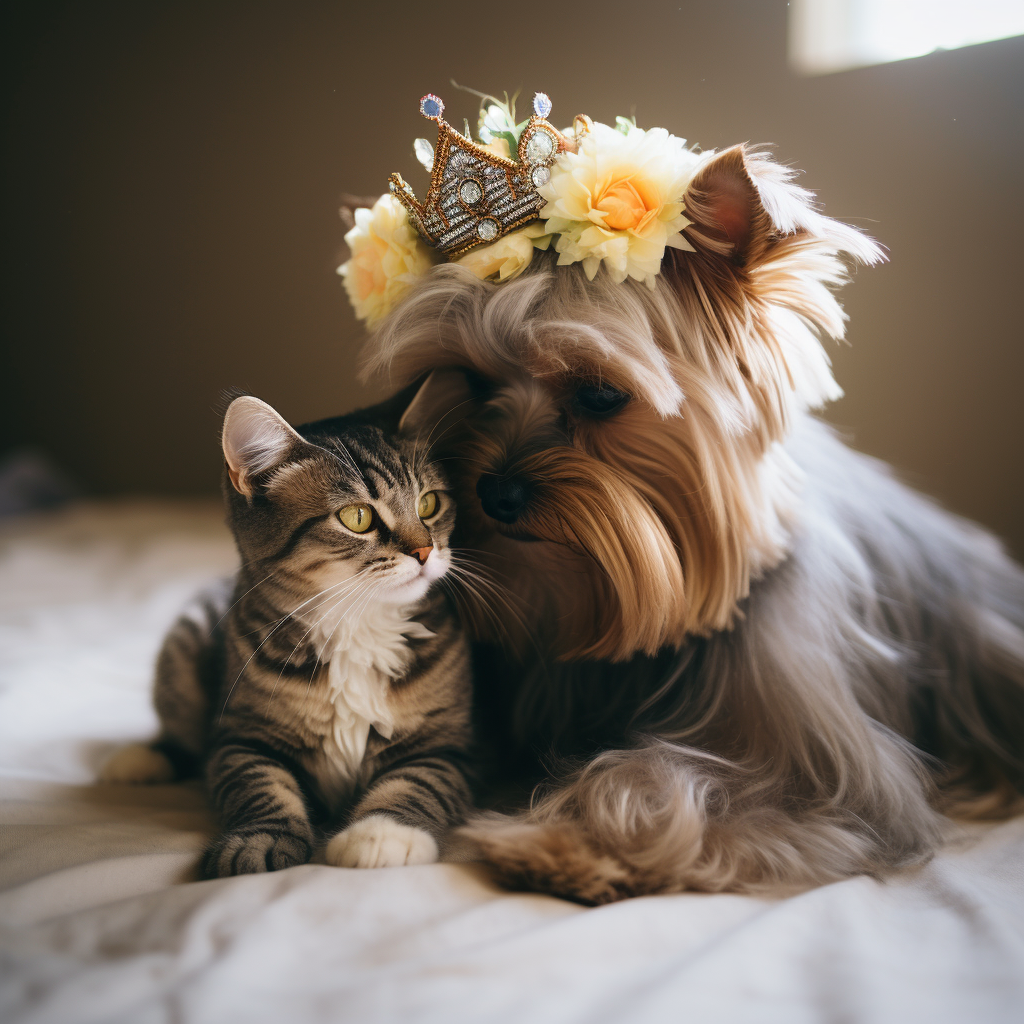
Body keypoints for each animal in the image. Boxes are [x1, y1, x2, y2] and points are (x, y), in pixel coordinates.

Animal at [101, 395, 473, 876]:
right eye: (358, 517)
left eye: (429, 504)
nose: (426, 552)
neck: (357, 625)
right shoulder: (240, 738)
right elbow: (260, 785)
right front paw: (259, 841)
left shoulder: (449, 746)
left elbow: (416, 783)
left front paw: (382, 835)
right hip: (183, 651)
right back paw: (143, 758)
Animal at [346, 140, 1024, 901]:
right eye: (473, 382)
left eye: (600, 394)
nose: (496, 493)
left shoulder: (841, 783)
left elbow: (668, 776)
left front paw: (561, 843)